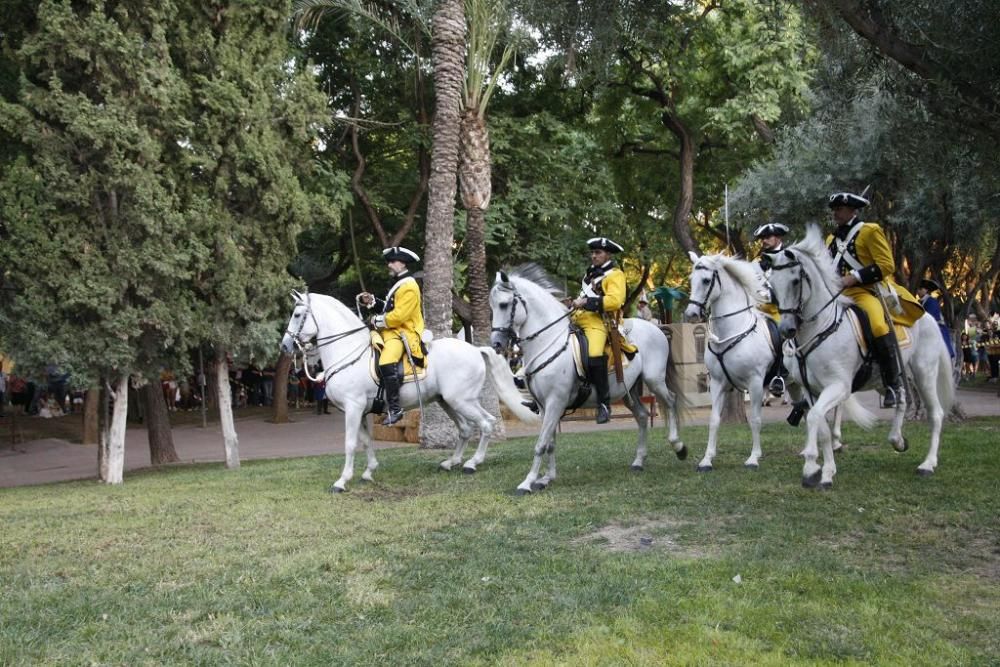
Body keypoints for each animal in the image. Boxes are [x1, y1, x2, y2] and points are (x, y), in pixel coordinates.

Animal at [278, 290, 536, 490]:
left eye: (297, 315)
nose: (285, 346)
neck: (348, 351)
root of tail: (474, 349)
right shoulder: (359, 411)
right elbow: (366, 441)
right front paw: (368, 472)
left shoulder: (353, 408)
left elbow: (350, 443)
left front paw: (342, 481)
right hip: (447, 401)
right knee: (464, 429)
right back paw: (451, 462)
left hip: (463, 401)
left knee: (486, 423)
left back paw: (472, 463)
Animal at [490, 266, 688, 496]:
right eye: (492, 306)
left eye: (504, 305)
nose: (496, 344)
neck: (549, 342)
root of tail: (656, 329)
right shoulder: (544, 406)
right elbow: (549, 442)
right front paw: (546, 478)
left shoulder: (555, 402)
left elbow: (540, 443)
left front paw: (527, 482)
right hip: (628, 391)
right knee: (642, 416)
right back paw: (639, 461)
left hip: (654, 380)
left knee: (671, 400)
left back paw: (678, 446)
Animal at [684, 253, 792, 472]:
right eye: (691, 279)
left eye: (706, 280)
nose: (691, 315)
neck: (732, 330)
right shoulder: (718, 383)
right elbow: (714, 420)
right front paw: (707, 459)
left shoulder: (755, 383)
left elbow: (755, 420)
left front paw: (753, 458)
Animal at [764, 227, 952, 488]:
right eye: (772, 284)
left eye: (795, 281)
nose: (786, 330)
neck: (821, 329)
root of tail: (930, 318)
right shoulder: (811, 390)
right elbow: (820, 425)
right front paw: (824, 471)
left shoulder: (839, 386)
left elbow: (815, 419)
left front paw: (813, 466)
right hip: (890, 377)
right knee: (900, 398)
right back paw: (897, 439)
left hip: (924, 375)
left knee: (935, 414)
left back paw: (928, 464)